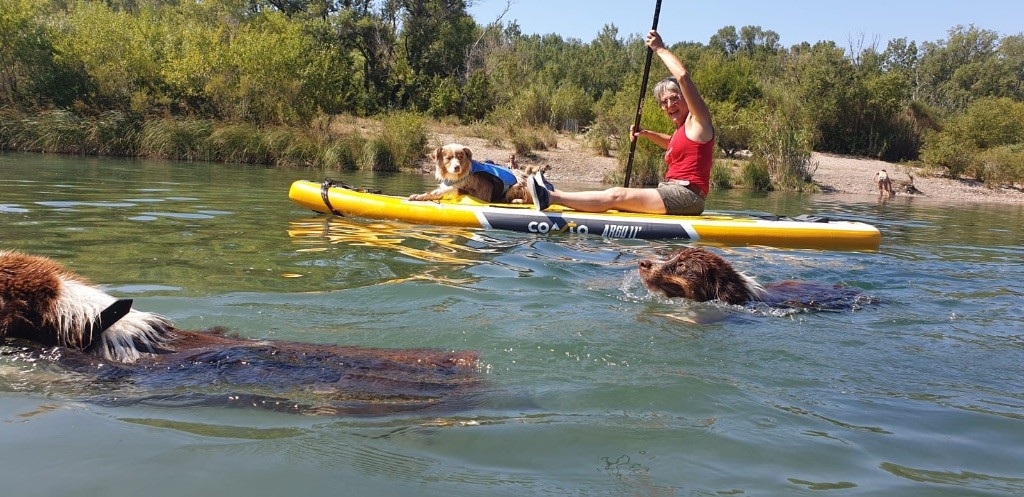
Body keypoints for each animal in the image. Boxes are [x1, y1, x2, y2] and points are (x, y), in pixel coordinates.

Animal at [407, 143, 540, 203]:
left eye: (460, 157)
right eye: (449, 158)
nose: (457, 167)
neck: (459, 177)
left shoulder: (482, 192)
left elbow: (453, 189)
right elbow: (435, 192)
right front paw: (420, 195)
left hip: (516, 187)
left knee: (528, 200)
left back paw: (516, 201)